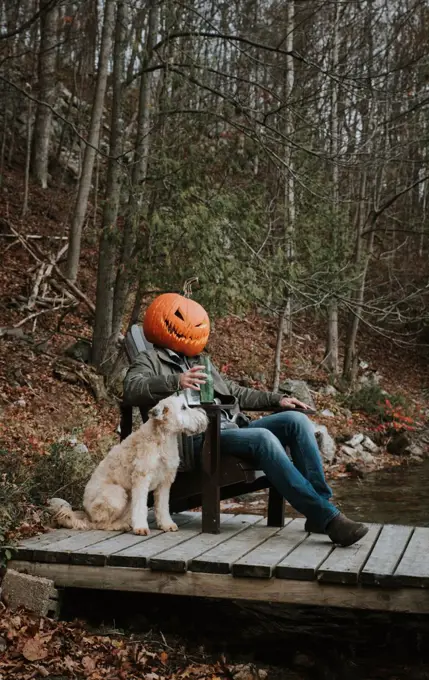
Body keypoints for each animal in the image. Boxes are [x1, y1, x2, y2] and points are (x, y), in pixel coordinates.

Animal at [48, 394, 207, 536]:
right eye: (183, 407)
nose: (204, 414)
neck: (162, 439)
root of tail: (87, 513)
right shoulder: (141, 479)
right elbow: (141, 506)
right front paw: (141, 528)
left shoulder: (164, 482)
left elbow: (162, 506)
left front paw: (166, 524)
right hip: (117, 493)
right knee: (100, 524)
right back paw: (120, 525)